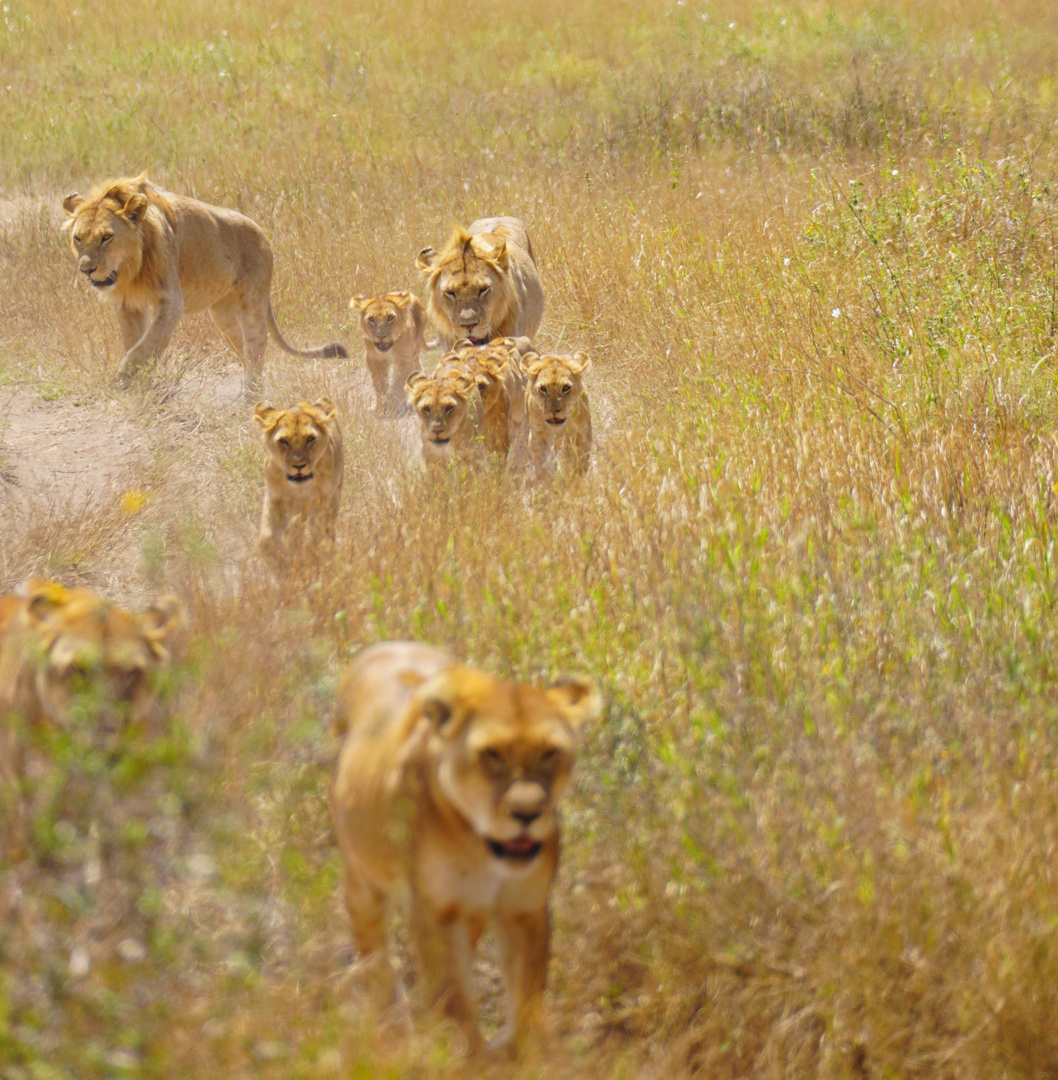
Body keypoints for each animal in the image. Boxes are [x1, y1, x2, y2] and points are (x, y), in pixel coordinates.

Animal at [252, 397, 343, 565]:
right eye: (283, 441)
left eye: (310, 439)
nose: (299, 466)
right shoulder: (275, 496)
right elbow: (267, 538)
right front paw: (277, 561)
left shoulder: (322, 498)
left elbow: (315, 530)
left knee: (324, 527)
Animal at [328, 639, 604, 1054]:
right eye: (491, 754)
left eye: (549, 753)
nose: (527, 812)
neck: (482, 847)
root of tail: (386, 645)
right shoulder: (435, 911)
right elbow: (451, 997)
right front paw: (465, 1053)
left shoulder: (524, 907)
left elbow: (527, 993)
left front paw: (521, 1052)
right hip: (364, 881)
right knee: (378, 960)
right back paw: (390, 1023)